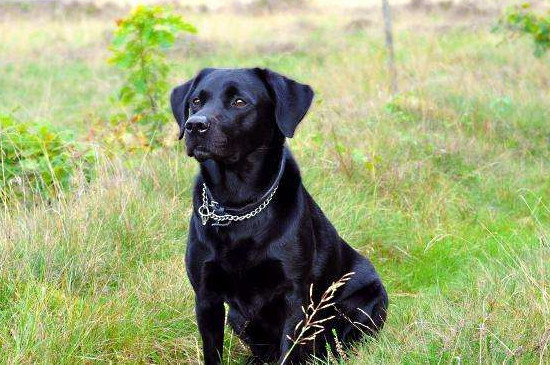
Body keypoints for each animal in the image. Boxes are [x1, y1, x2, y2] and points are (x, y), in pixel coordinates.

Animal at [171, 67, 388, 362]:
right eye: (196, 101)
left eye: (239, 102)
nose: (195, 125)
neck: (238, 206)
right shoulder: (206, 297)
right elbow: (212, 352)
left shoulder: (294, 296)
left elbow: (289, 352)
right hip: (237, 317)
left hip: (367, 302)